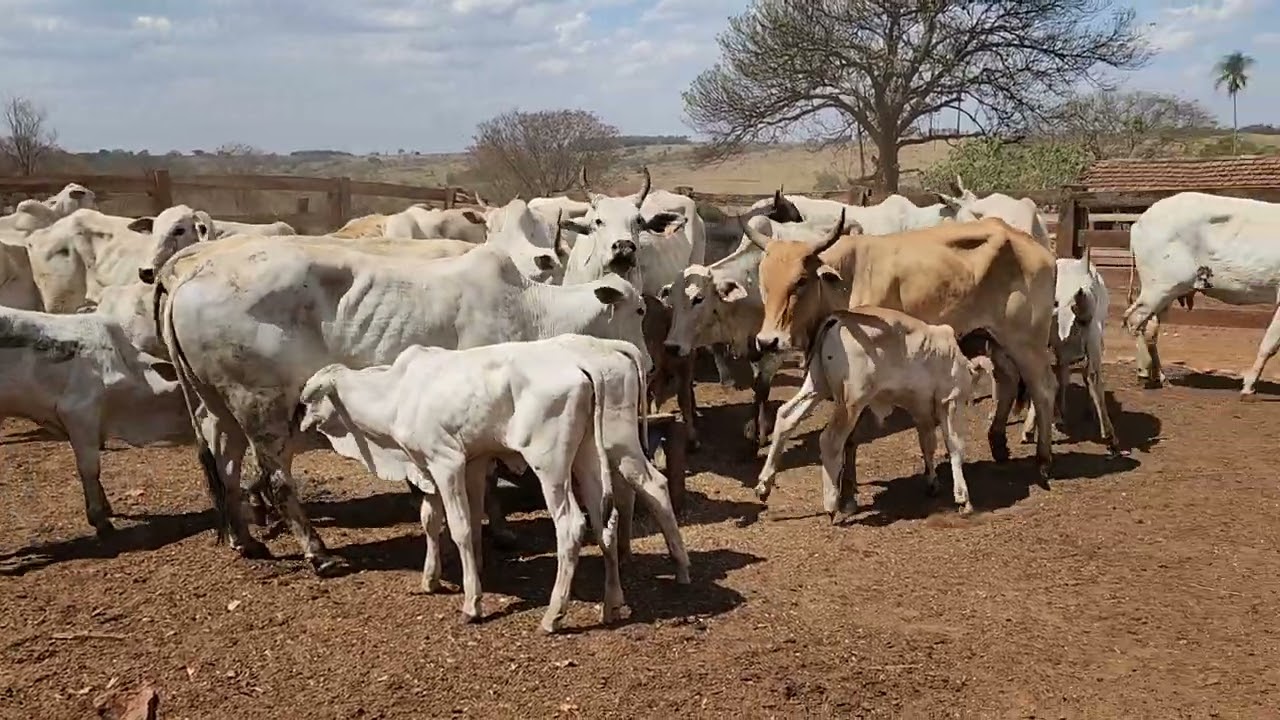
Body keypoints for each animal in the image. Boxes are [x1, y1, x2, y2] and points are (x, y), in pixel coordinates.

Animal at [153, 238, 652, 575]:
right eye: (641, 310)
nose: (646, 359)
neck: (530, 308)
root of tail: (187, 278)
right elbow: (486, 474)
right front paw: (495, 530)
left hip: (217, 406)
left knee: (225, 468)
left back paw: (246, 542)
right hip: (261, 407)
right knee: (276, 480)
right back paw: (319, 552)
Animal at [296, 335, 688, 632]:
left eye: (309, 399)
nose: (298, 423)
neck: (397, 394)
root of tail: (585, 364)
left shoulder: (446, 462)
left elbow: (460, 528)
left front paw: (472, 603)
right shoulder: (461, 463)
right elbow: (439, 520)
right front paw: (434, 578)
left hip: (558, 461)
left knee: (579, 521)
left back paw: (555, 614)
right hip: (591, 453)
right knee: (608, 518)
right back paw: (612, 603)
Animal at [746, 211, 1059, 476]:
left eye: (800, 281)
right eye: (764, 282)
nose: (768, 341)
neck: (847, 280)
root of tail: (1038, 248)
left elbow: (851, 436)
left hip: (1027, 342)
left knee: (1044, 389)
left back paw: (1044, 459)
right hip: (995, 339)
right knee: (1007, 382)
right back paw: (998, 443)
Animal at [754, 308, 994, 517]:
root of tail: (839, 317)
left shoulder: (921, 411)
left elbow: (928, 445)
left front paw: (933, 482)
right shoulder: (949, 402)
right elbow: (955, 446)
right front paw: (963, 499)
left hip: (817, 385)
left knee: (786, 417)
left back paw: (764, 485)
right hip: (852, 401)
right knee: (830, 440)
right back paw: (832, 504)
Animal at [1123, 191, 1280, 398]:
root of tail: (1139, 222)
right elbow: (1270, 344)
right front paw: (1248, 387)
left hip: (1165, 293)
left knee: (1149, 328)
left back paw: (1161, 377)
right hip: (1158, 288)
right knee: (1135, 319)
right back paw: (1144, 374)